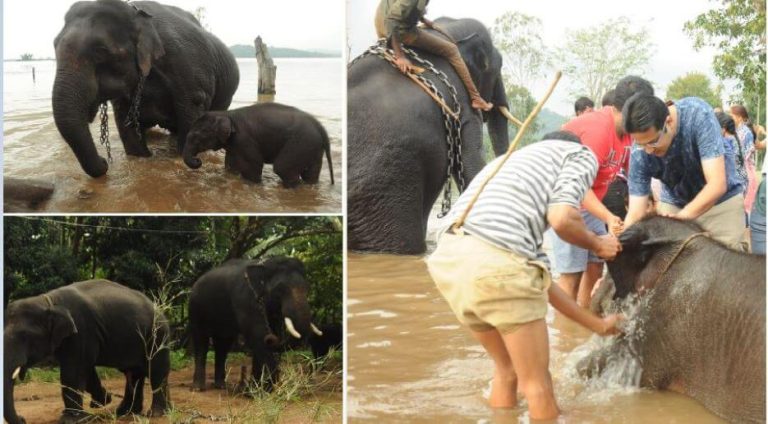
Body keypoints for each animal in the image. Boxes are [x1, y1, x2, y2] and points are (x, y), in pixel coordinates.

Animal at [4, 280, 171, 424]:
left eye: (25, 337)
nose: (23, 419)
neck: (47, 300)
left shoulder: (82, 331)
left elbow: (74, 372)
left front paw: (71, 419)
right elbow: (86, 371)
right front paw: (103, 400)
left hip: (157, 336)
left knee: (156, 371)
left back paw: (156, 414)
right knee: (133, 374)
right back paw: (125, 412)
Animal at [53, 0, 239, 178]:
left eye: (101, 51)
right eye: (54, 45)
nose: (105, 161)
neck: (135, 13)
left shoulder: (189, 72)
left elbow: (191, 117)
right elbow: (127, 128)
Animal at [182, 103, 335, 187]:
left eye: (196, 137)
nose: (198, 160)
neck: (226, 113)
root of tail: (320, 126)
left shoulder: (244, 139)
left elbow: (253, 165)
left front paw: (254, 185)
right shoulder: (235, 144)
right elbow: (231, 165)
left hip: (301, 142)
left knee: (283, 168)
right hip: (313, 146)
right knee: (310, 175)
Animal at [189, 256, 323, 392]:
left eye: (308, 289)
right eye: (280, 290)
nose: (271, 338)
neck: (264, 265)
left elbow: (264, 336)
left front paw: (256, 390)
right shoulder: (245, 300)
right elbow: (257, 335)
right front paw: (263, 390)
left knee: (223, 344)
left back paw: (221, 386)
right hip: (195, 308)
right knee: (201, 341)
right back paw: (198, 388)